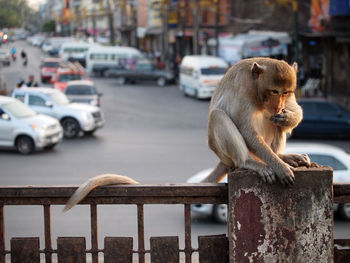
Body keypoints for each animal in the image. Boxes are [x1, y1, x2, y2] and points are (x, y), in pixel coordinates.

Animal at [201, 57, 310, 186]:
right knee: (217, 115)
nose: (278, 106)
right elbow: (247, 131)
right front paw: (280, 167)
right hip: (228, 155)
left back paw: (280, 155)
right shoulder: (243, 88)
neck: (255, 87)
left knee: (277, 125)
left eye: (285, 92)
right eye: (274, 91)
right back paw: (246, 161)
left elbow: (293, 107)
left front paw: (288, 118)